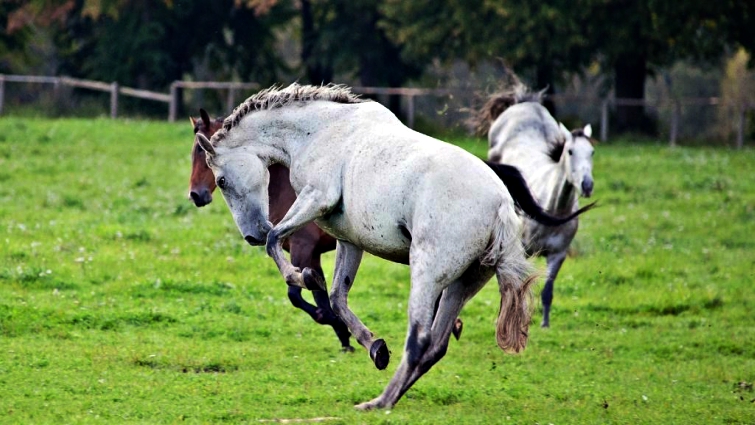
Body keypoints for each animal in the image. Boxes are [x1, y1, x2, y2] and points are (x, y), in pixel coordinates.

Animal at [189, 109, 354, 352]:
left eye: (201, 151)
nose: (195, 195)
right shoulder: (311, 256)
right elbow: (318, 294)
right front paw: (344, 335)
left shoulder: (303, 248)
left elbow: (296, 295)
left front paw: (339, 325)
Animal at [473, 80, 596, 328]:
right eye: (570, 151)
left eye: (592, 152)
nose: (587, 185)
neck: (554, 210)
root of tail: (525, 103)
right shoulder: (524, 251)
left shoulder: (558, 254)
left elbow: (547, 291)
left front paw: (545, 324)